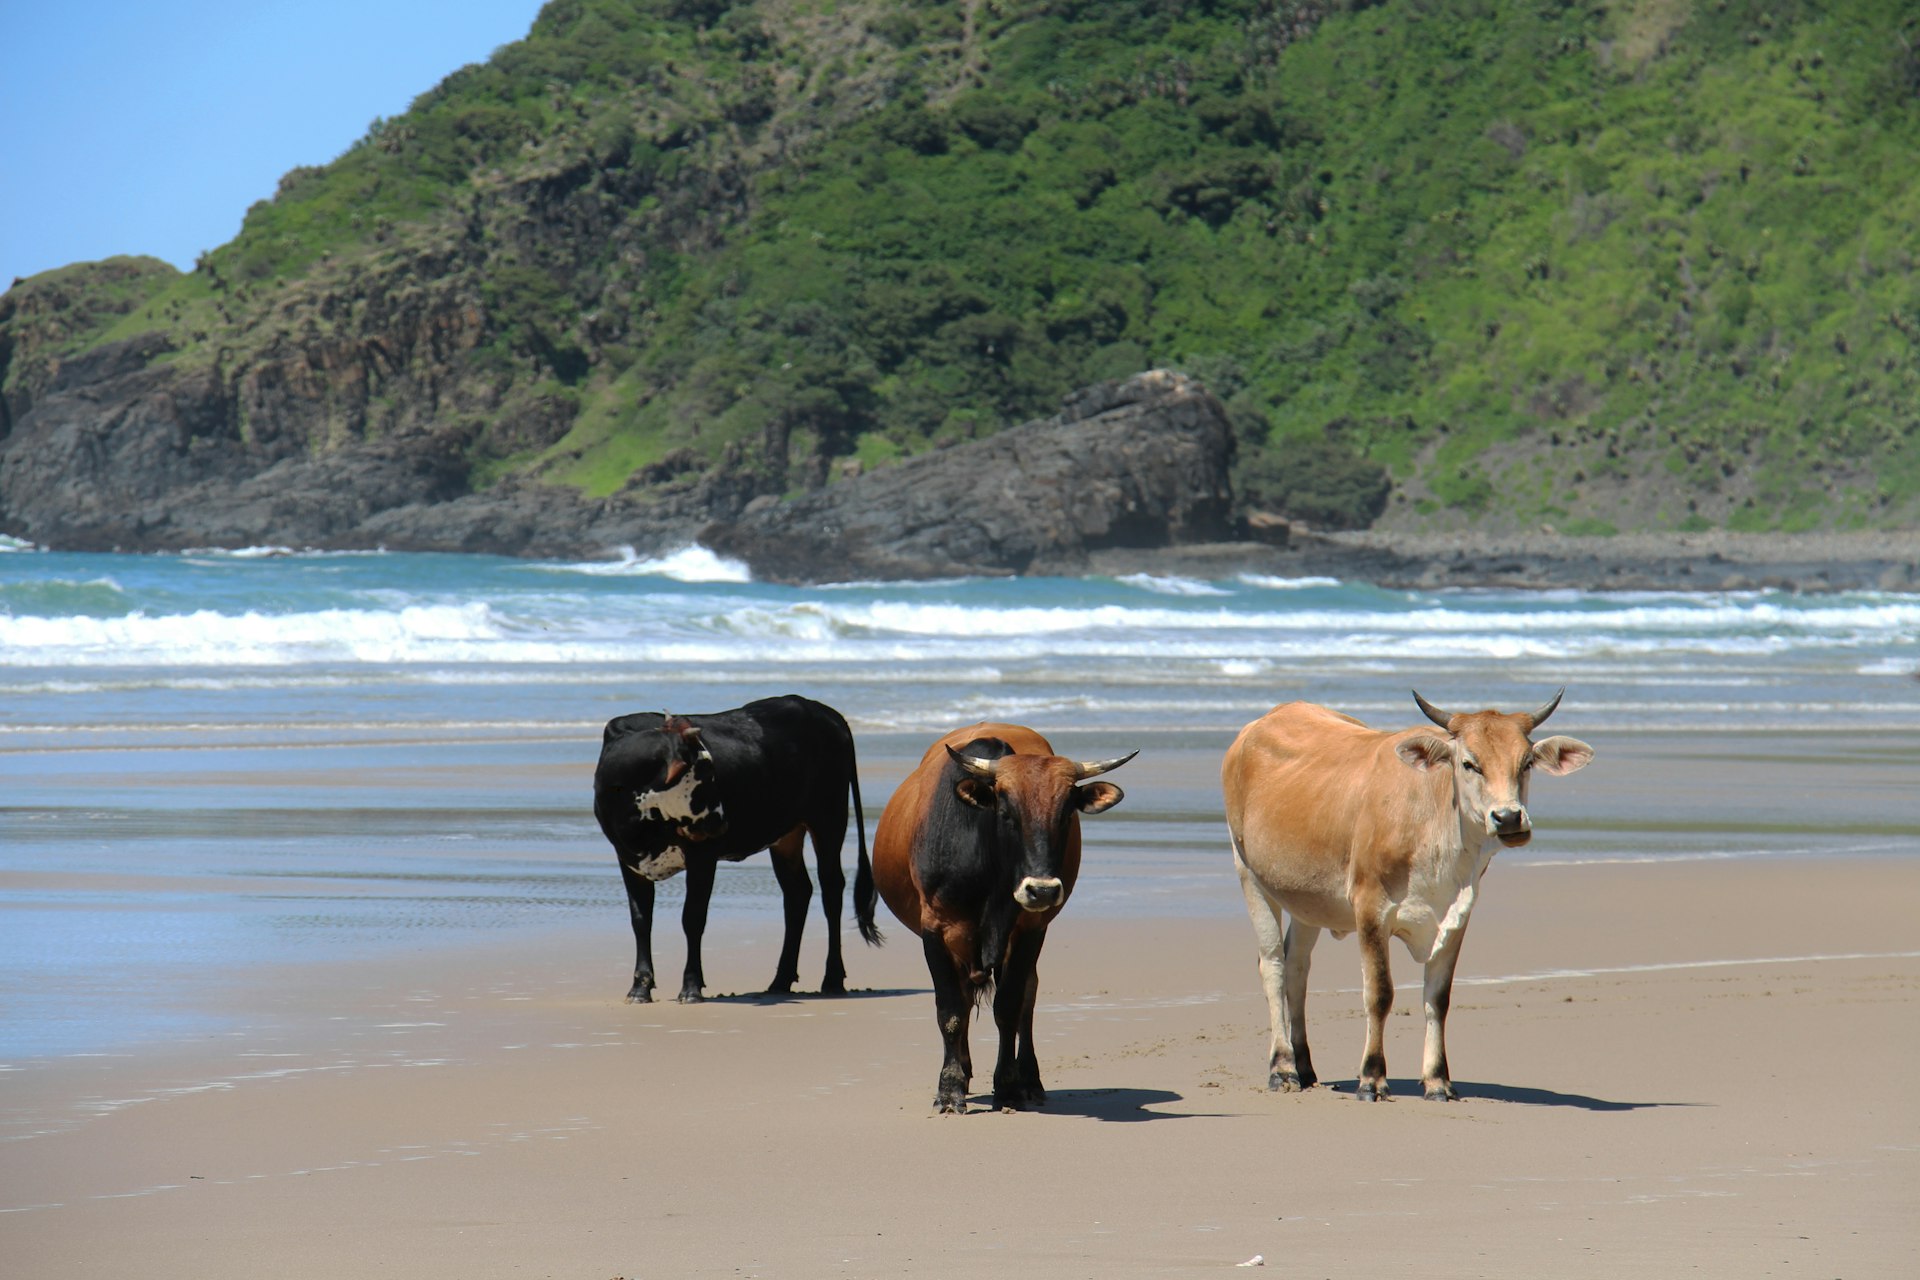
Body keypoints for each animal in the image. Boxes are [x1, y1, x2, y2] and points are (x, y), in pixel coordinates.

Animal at [587, 694, 879, 1005]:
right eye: (704, 772)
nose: (722, 822)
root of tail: (826, 713)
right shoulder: (627, 858)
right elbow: (641, 921)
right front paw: (640, 987)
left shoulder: (703, 854)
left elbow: (693, 917)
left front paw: (691, 987)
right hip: (786, 835)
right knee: (797, 892)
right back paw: (780, 979)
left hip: (829, 820)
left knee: (831, 890)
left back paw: (832, 978)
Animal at [879, 725, 1128, 1113]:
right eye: (1007, 812)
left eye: (1065, 813)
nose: (1042, 891)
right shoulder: (934, 928)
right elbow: (950, 1011)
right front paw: (949, 1089)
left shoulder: (1028, 930)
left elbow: (1008, 1007)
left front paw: (1008, 1087)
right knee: (965, 998)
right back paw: (966, 1070)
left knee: (1027, 996)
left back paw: (1029, 1079)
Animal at [1221, 690, 1597, 1105]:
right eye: (1469, 763)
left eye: (1526, 762)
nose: (1509, 818)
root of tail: (1261, 723)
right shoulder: (1369, 908)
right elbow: (1379, 993)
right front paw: (1371, 1078)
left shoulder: (1457, 914)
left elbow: (1438, 998)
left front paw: (1437, 1080)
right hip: (1249, 872)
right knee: (1272, 965)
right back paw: (1283, 1067)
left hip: (1307, 901)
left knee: (1297, 969)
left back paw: (1304, 1066)